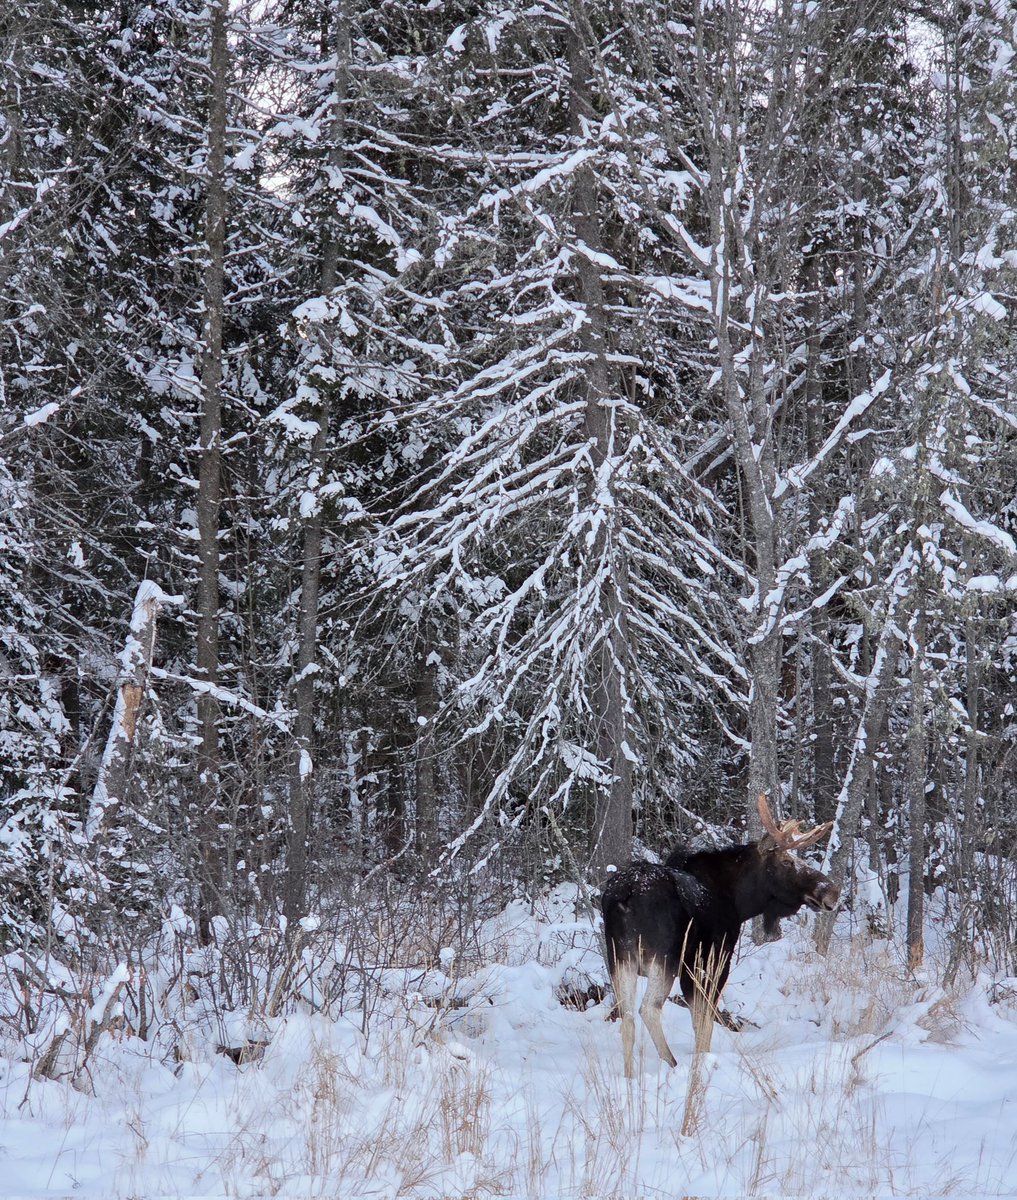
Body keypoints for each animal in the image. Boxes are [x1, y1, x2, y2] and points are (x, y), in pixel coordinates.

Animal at [601, 794, 839, 1077]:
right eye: (786, 862)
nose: (832, 891)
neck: (738, 902)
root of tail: (623, 895)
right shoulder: (712, 961)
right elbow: (704, 1021)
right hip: (663, 958)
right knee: (647, 1008)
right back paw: (671, 1062)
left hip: (619, 958)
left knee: (626, 1015)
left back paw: (629, 1076)